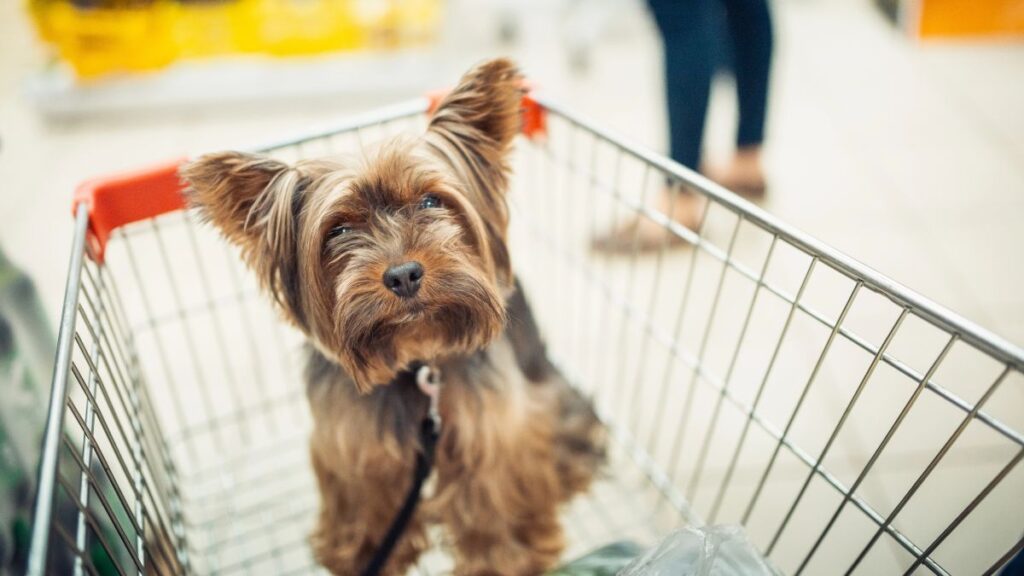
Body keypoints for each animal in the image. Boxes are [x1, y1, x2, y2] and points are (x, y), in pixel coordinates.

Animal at [180, 59, 602, 573]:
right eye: (339, 230)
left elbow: (492, 499)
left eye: (431, 201)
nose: (402, 275)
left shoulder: (494, 432)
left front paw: (504, 558)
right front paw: (364, 555)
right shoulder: (352, 441)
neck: (415, 358)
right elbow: (366, 502)